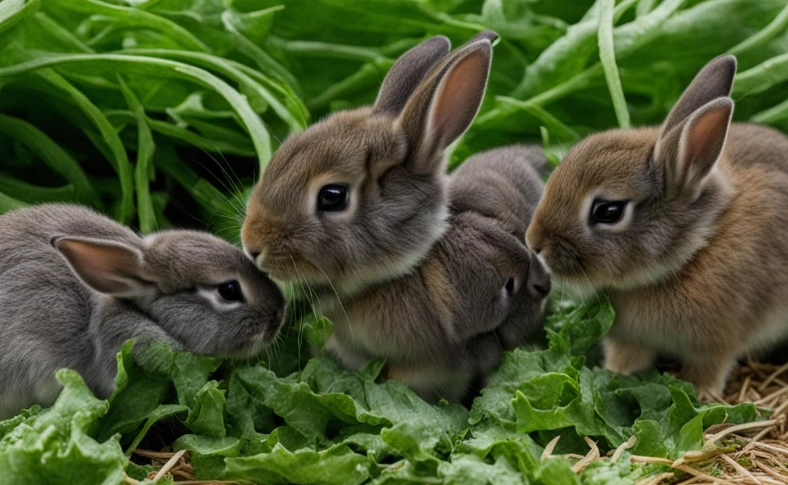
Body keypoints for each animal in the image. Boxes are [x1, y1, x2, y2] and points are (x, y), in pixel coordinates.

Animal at [526, 54, 788, 397]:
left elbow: (709, 368)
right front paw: (616, 373)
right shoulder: (629, 339)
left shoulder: (717, 343)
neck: (692, 251)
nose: (534, 243)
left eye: (608, 211)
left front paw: (700, 394)